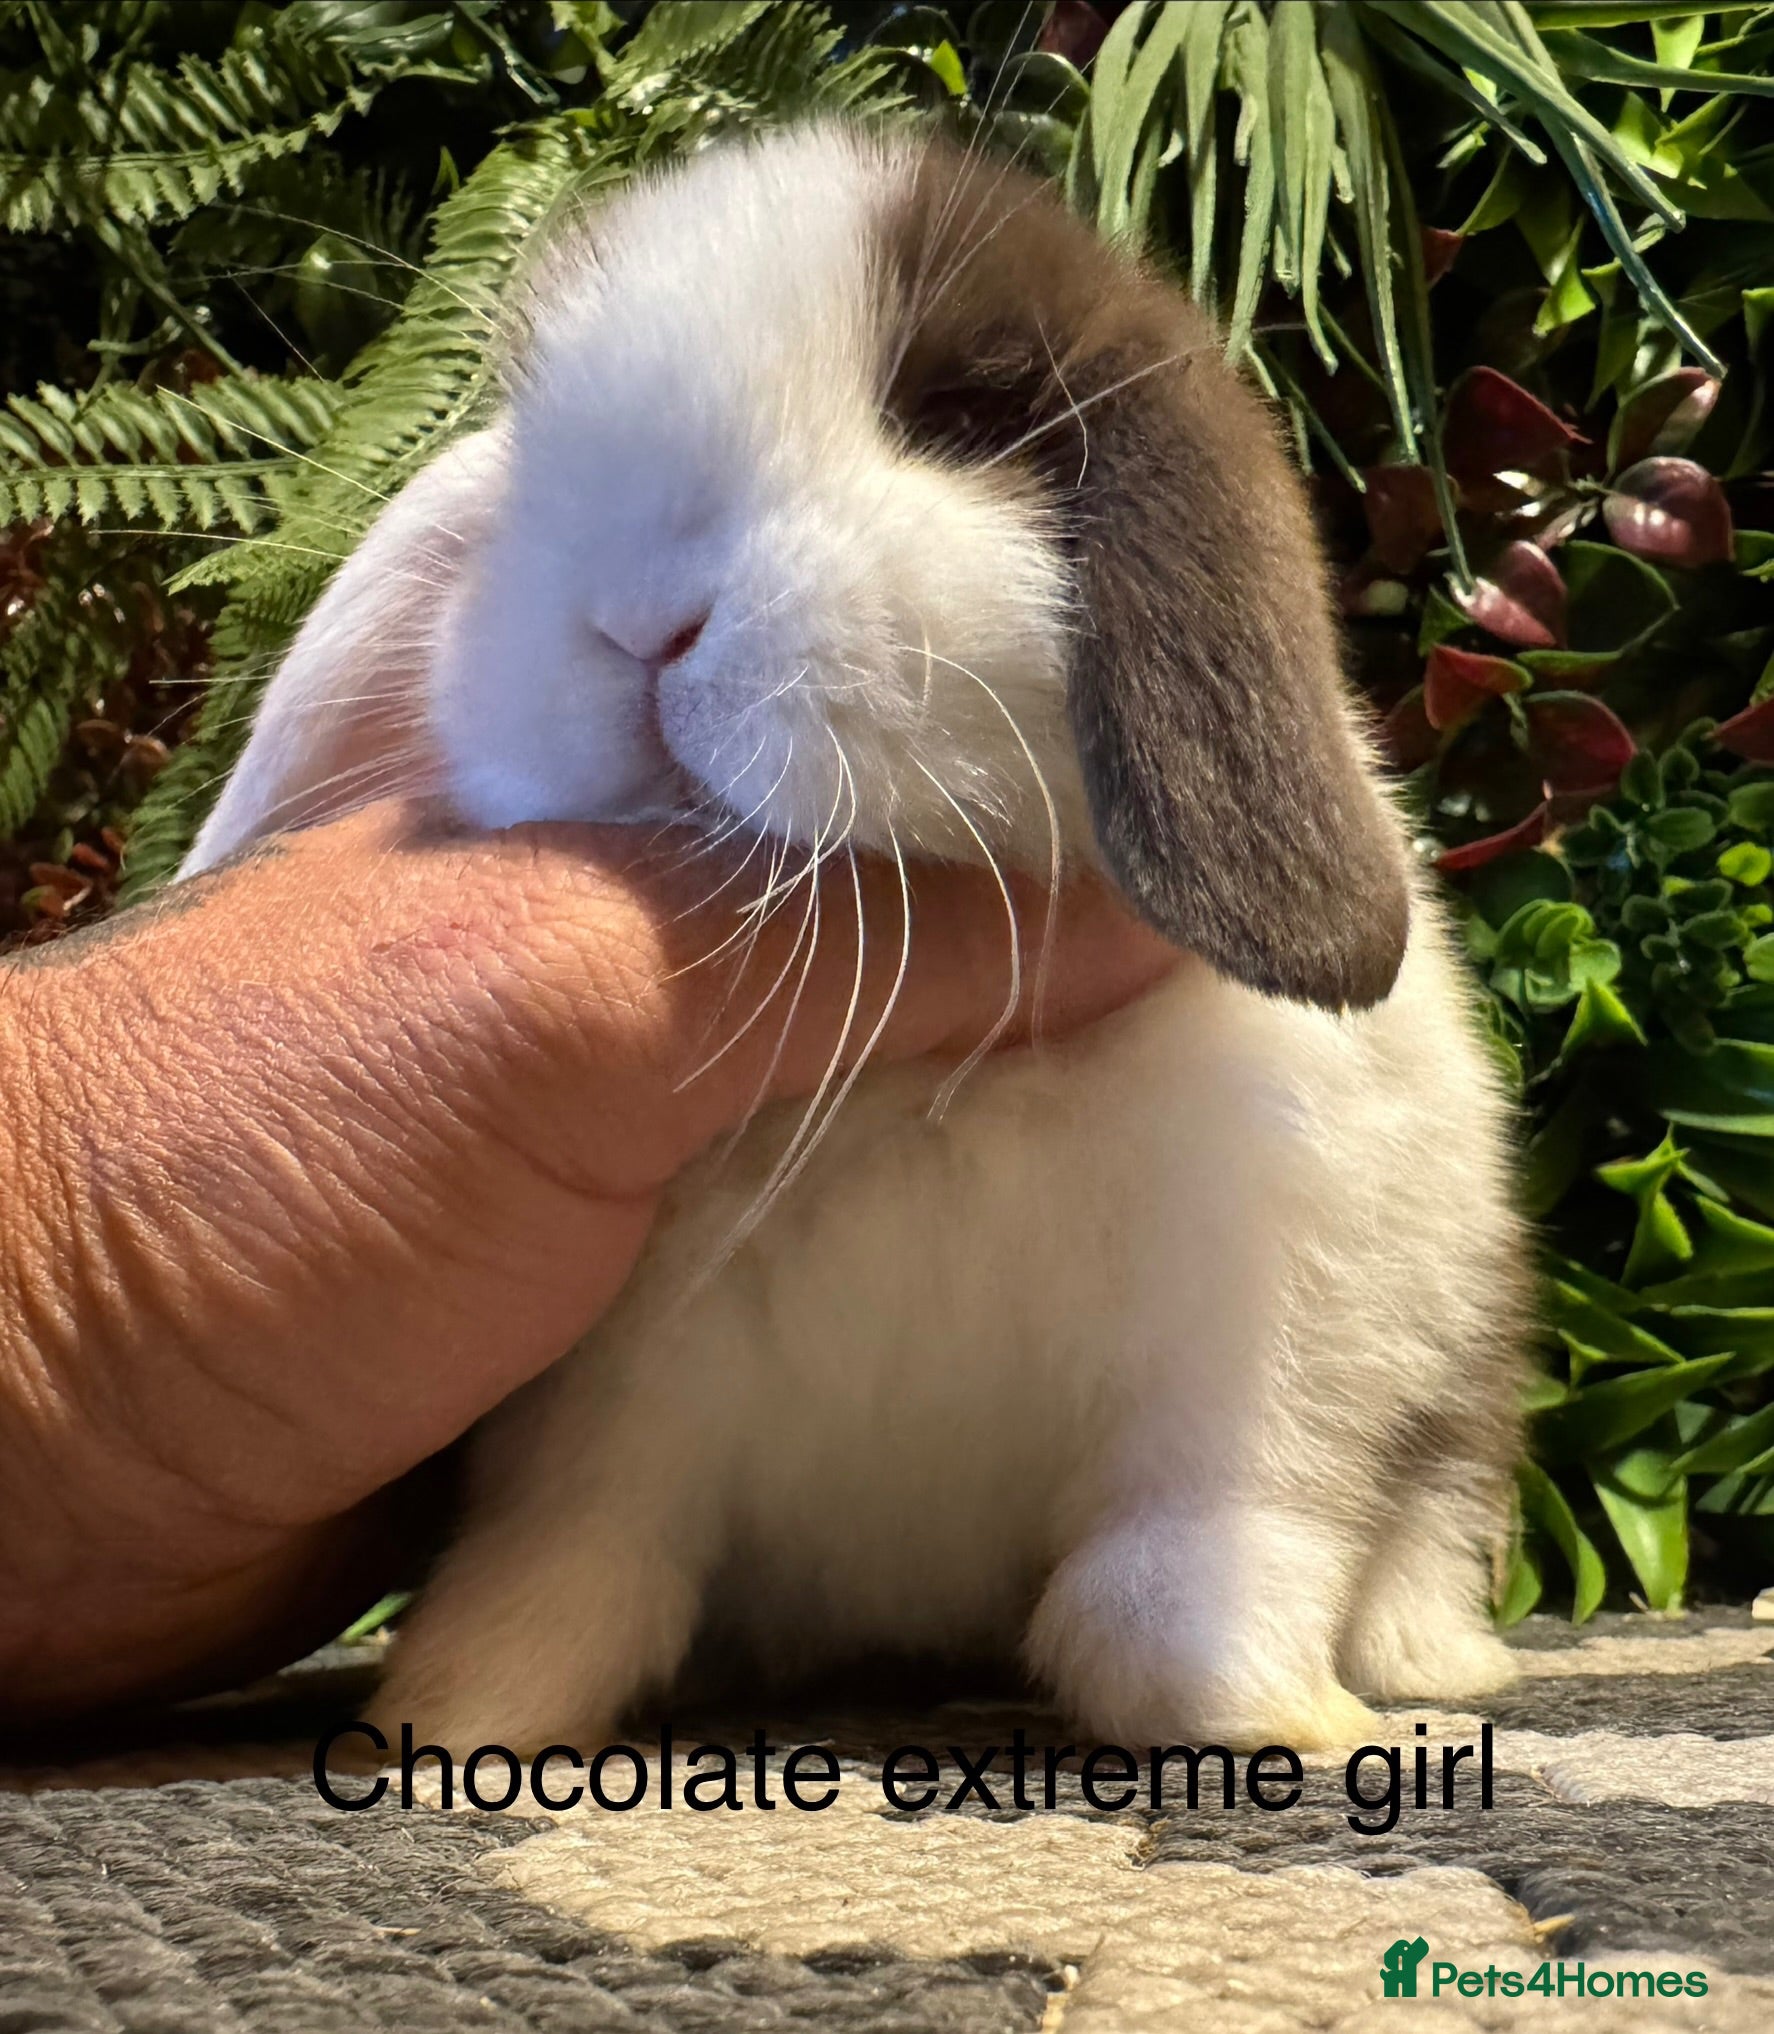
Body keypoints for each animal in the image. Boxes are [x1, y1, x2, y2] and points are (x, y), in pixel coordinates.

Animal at [182, 120, 1529, 1755]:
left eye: (951, 416)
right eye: (532, 480)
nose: (635, 619)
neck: (919, 1092)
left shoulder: (1261, 1361)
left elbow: (1185, 1571)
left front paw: (1278, 1719)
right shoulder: (604, 1420)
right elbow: (567, 1574)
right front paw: (445, 1728)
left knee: (1424, 1526)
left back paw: (1431, 1667)